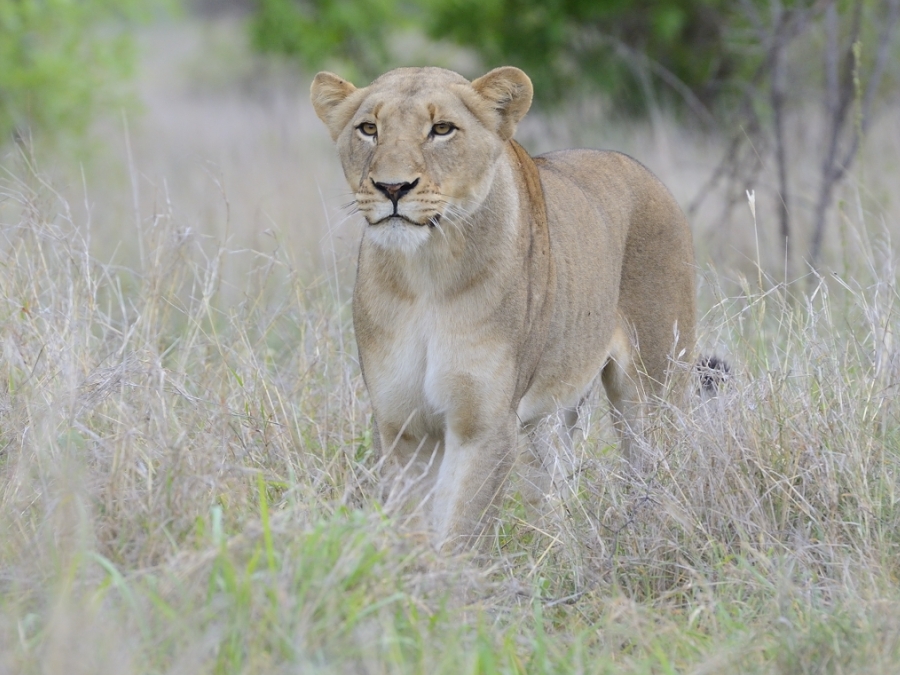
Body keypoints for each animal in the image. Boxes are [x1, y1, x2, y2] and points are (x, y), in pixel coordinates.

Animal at [310, 66, 697, 550]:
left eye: (442, 129)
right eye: (368, 129)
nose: (392, 187)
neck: (425, 275)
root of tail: (642, 170)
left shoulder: (486, 424)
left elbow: (461, 531)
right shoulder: (401, 423)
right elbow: (411, 527)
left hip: (655, 391)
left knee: (658, 473)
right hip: (549, 415)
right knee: (552, 490)